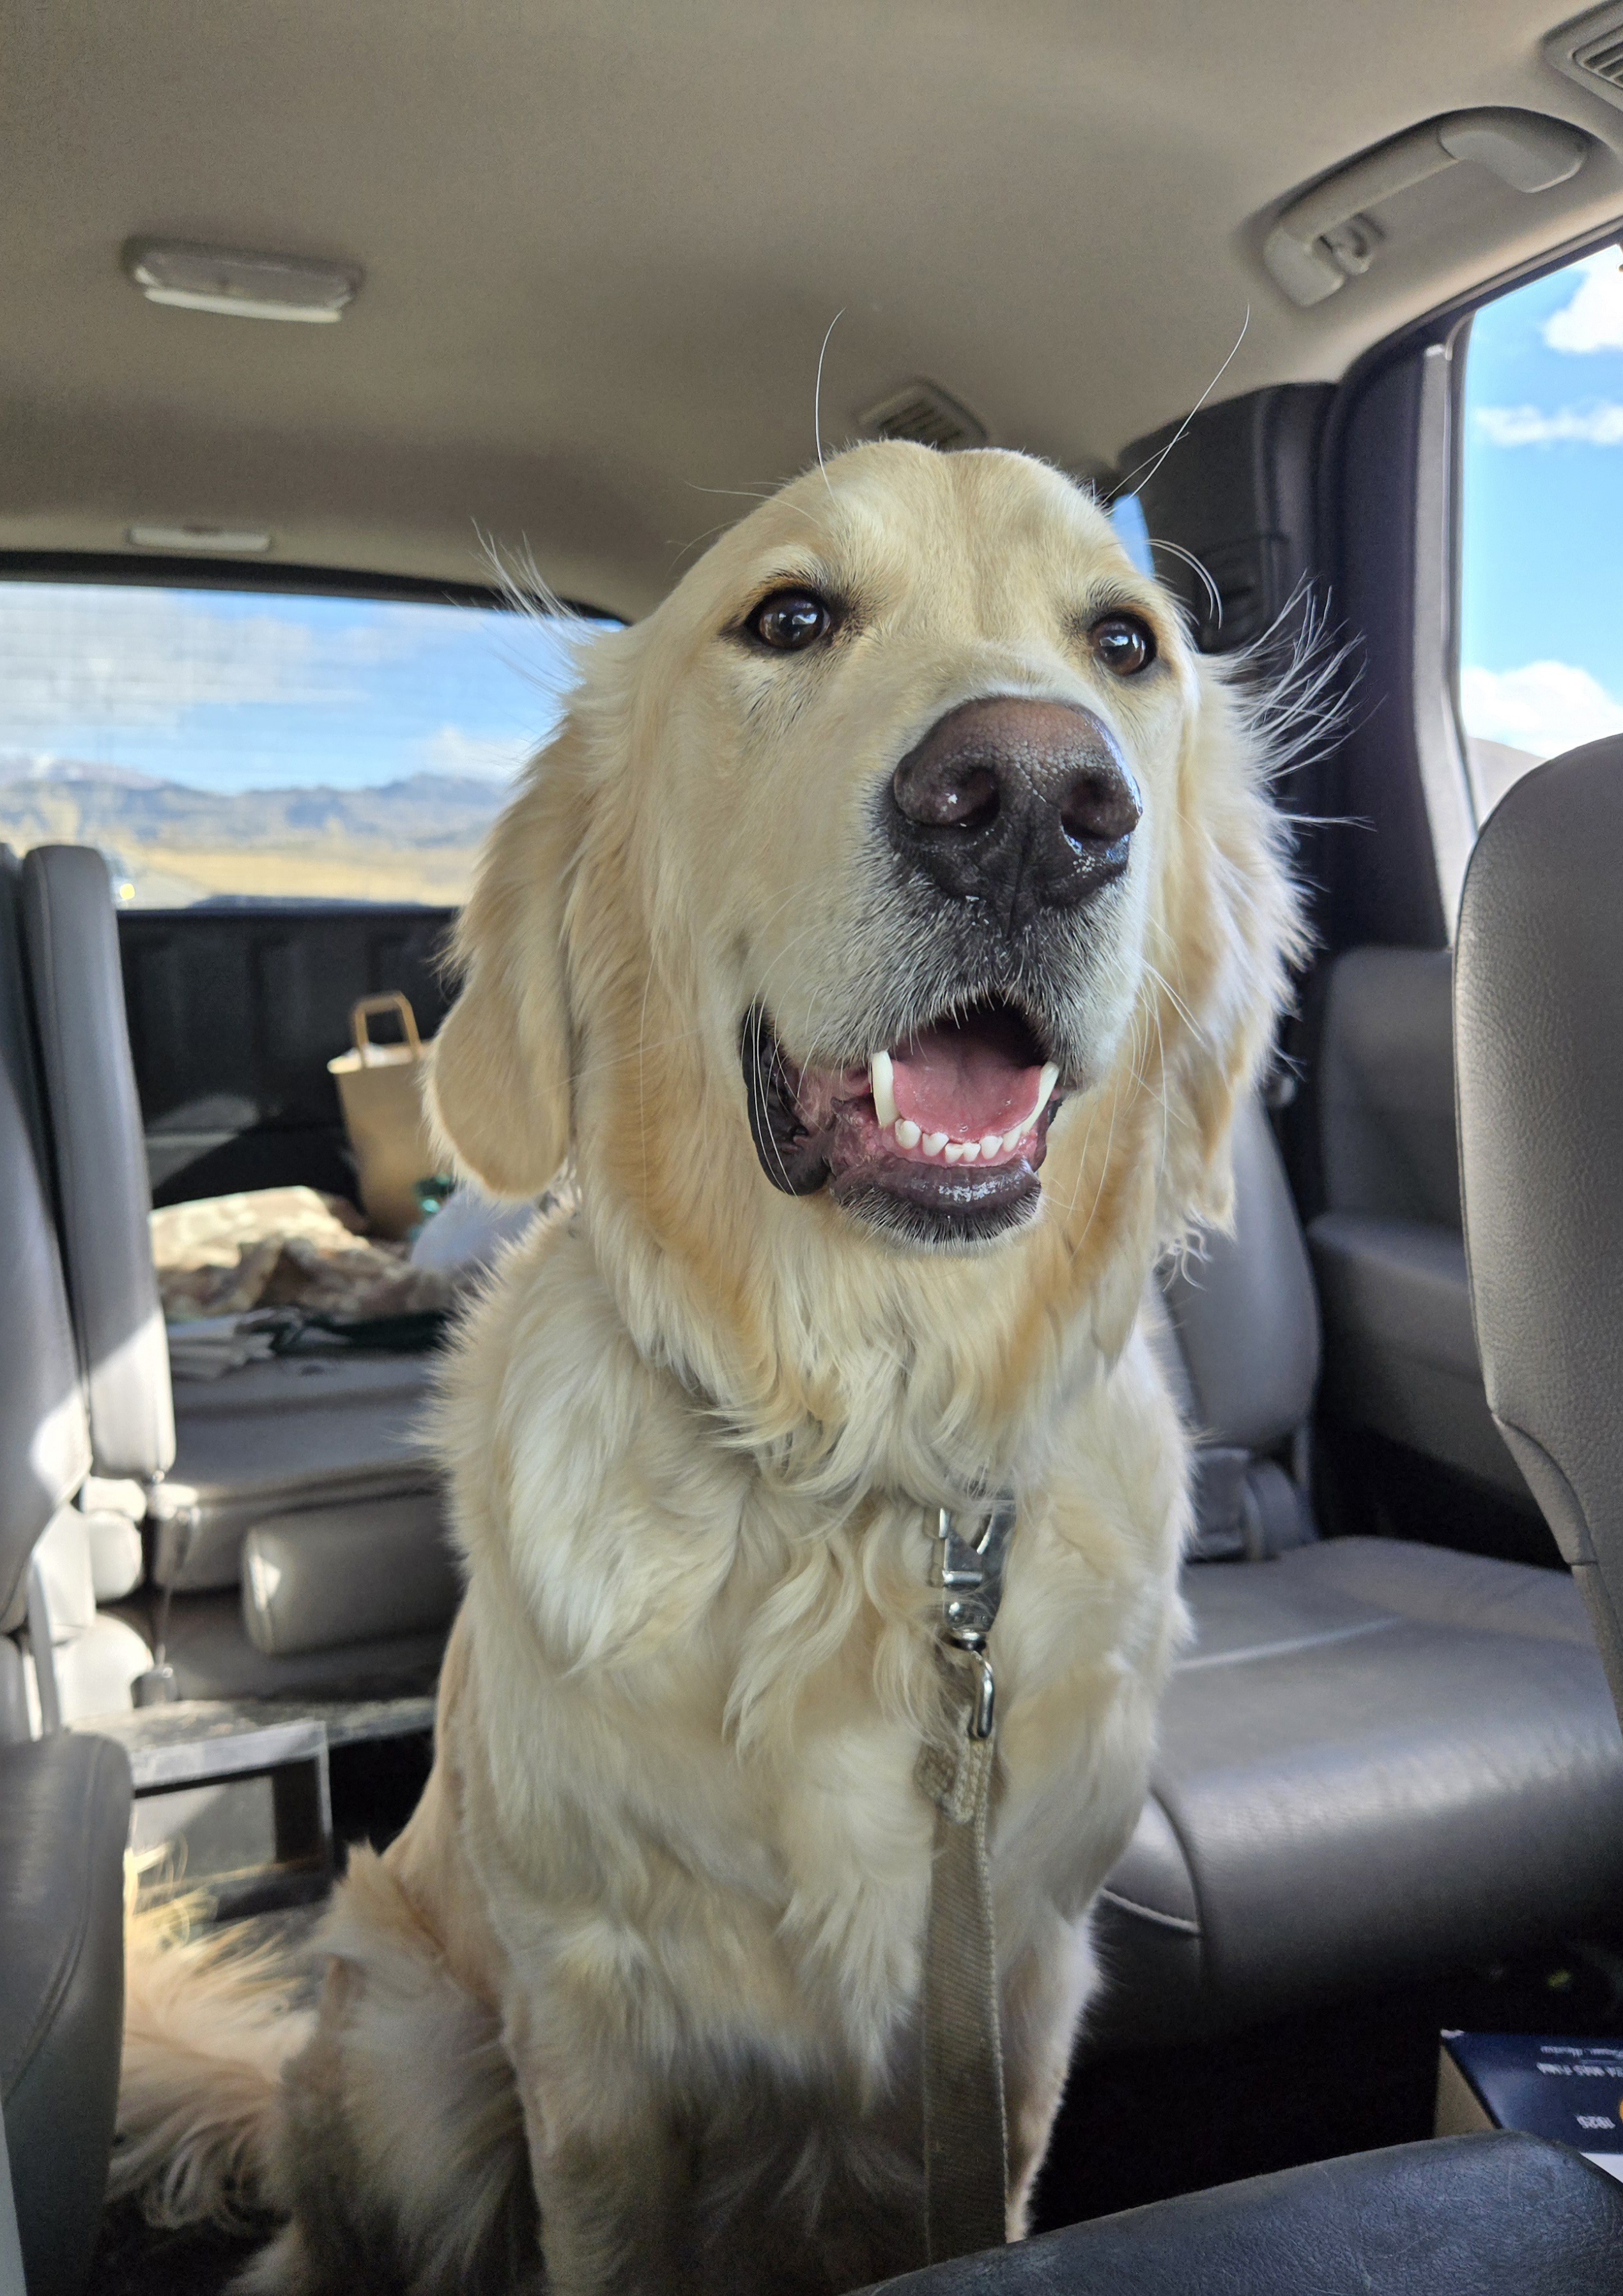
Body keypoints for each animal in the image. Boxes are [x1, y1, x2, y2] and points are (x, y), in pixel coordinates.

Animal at [111, 438, 1304, 2286]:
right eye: (788, 617)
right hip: (408, 2039)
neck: (868, 1455)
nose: (1035, 802)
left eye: (1124, 643)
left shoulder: (1022, 1981)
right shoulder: (594, 2033)